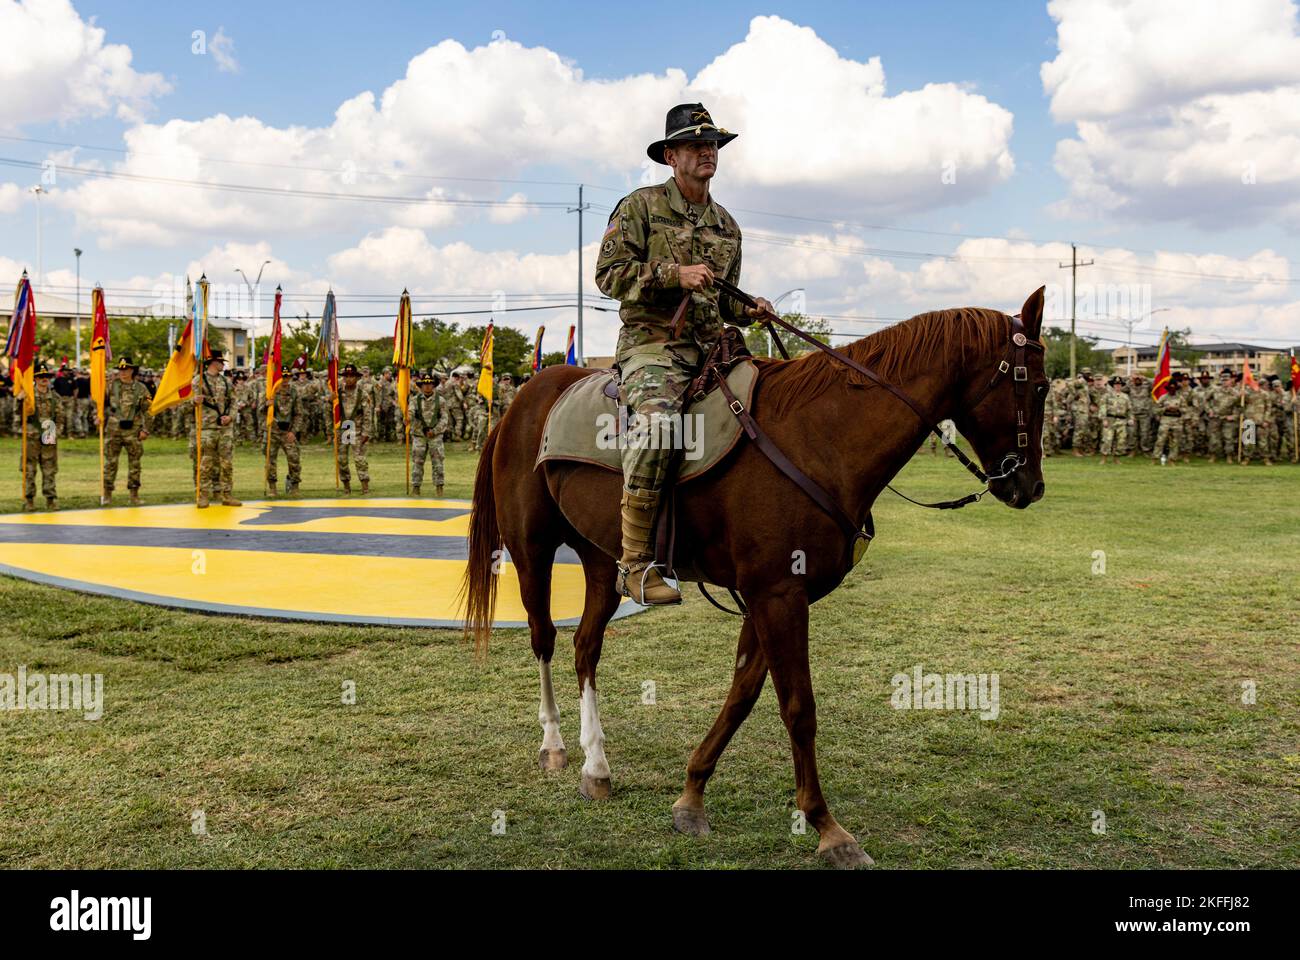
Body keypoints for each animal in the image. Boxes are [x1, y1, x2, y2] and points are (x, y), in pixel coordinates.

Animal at [462, 283, 1050, 868]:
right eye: (1040, 386)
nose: (1029, 487)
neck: (820, 436)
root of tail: (523, 399)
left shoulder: (772, 596)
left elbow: (742, 695)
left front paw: (692, 796)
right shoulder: (777, 594)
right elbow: (798, 706)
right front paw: (827, 827)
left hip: (603, 561)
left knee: (586, 647)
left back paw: (597, 767)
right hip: (531, 550)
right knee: (544, 638)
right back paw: (555, 746)